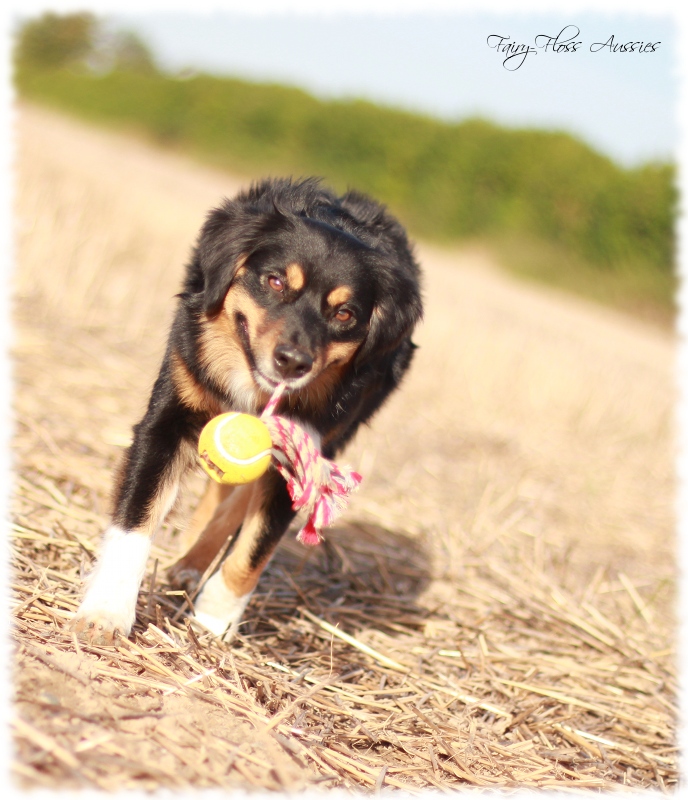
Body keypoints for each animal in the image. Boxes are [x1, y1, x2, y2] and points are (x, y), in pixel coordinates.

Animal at [72, 178, 422, 648]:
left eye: (345, 313)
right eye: (275, 281)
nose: (293, 362)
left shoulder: (303, 459)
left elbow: (249, 555)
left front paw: (212, 623)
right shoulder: (167, 421)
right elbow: (135, 522)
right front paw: (106, 612)